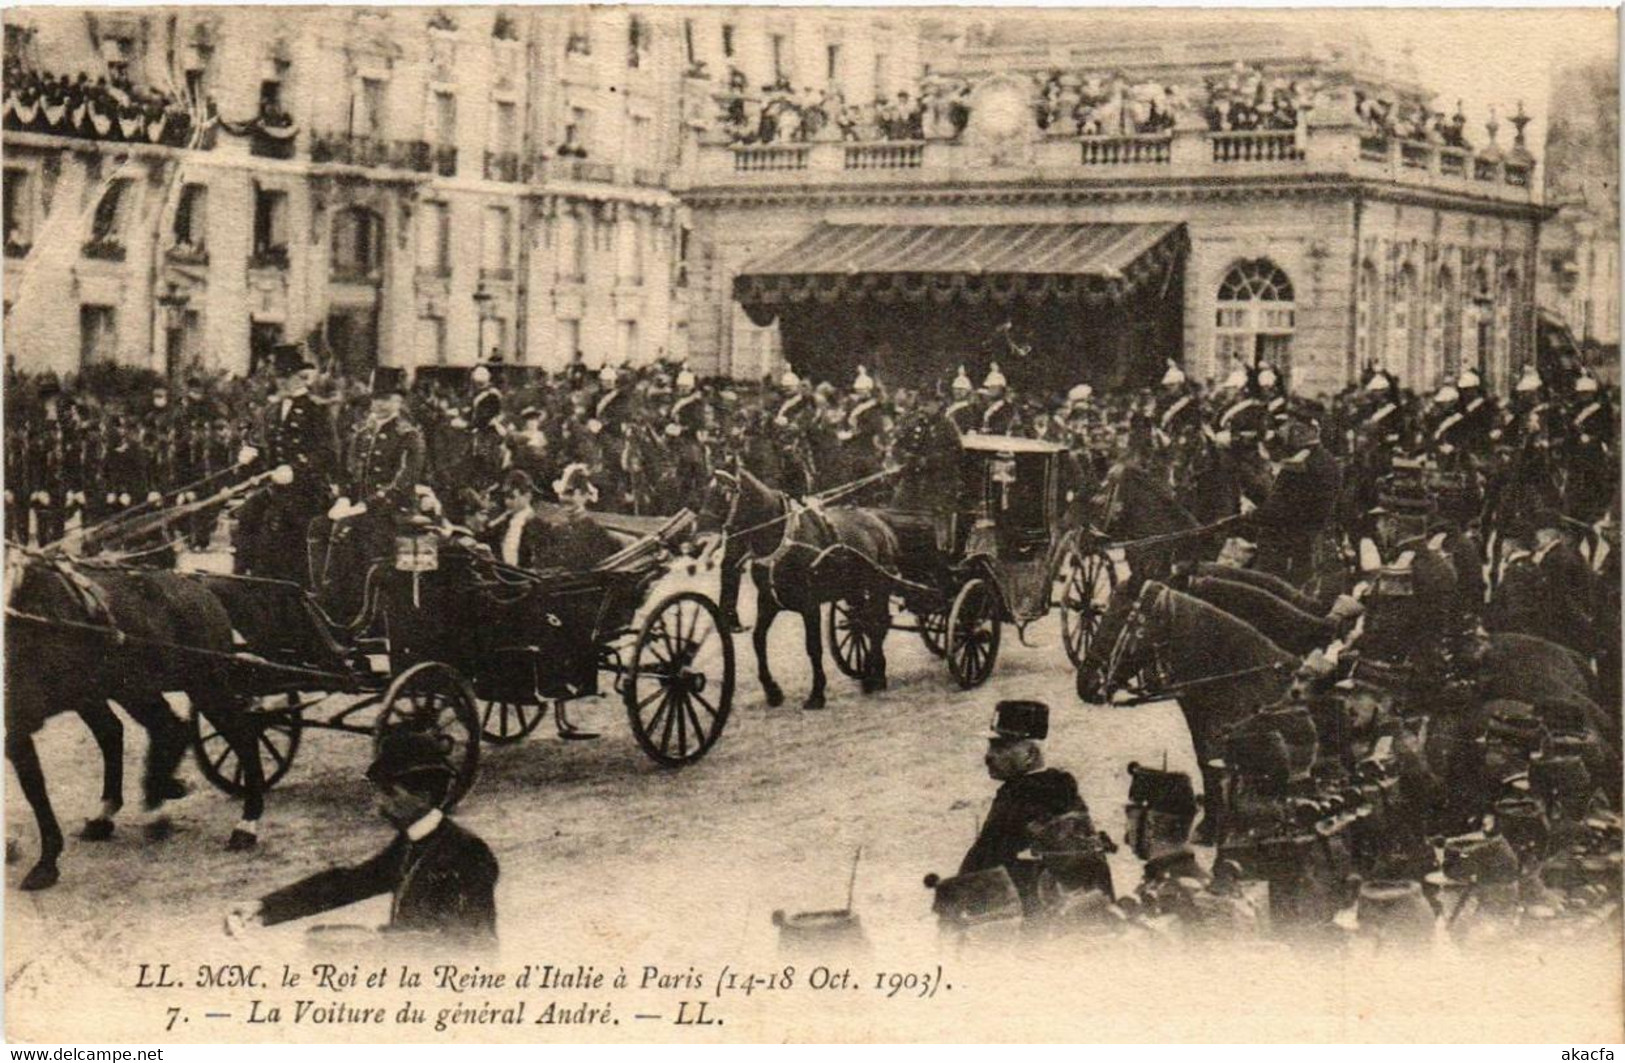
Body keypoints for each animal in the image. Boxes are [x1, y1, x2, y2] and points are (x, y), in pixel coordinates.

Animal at [6, 549, 266, 890]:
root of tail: (200, 587)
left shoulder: (21, 717)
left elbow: (34, 787)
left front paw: (45, 861)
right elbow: (33, 785)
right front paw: (42, 860)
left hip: (201, 683)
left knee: (237, 735)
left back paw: (244, 825)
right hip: (120, 688)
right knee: (146, 730)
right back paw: (124, 808)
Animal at [698, 464, 897, 708]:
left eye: (724, 494)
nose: (701, 538)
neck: (781, 540)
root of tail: (878, 522)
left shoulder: (809, 605)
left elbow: (813, 647)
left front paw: (817, 694)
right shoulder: (767, 602)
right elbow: (758, 640)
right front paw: (772, 691)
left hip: (879, 586)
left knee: (878, 624)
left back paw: (874, 676)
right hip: (854, 591)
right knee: (864, 623)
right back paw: (872, 675)